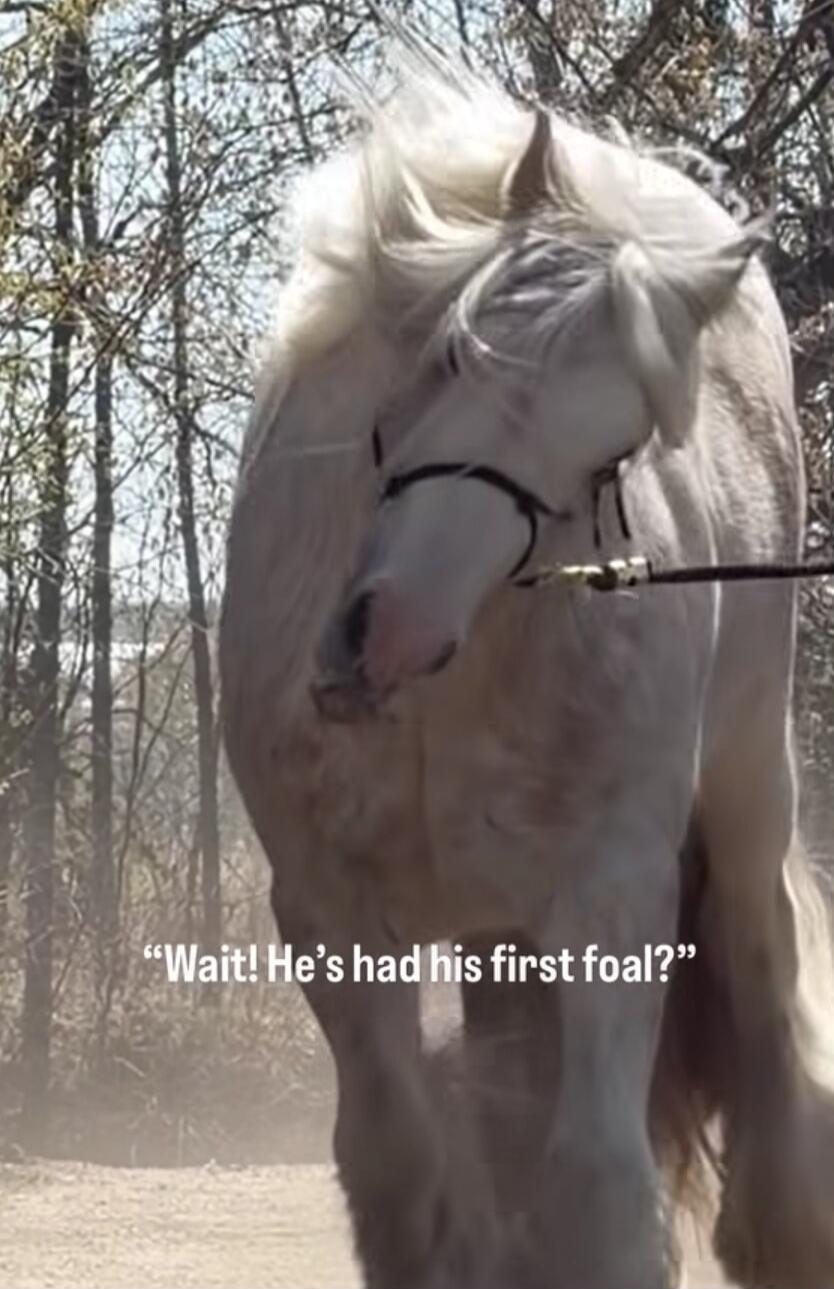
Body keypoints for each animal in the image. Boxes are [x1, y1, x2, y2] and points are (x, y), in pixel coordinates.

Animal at [218, 35, 834, 1289]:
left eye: (612, 453)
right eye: (454, 347)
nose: (389, 634)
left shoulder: (611, 896)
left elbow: (597, 1177)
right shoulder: (328, 908)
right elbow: (398, 1160)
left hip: (748, 796)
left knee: (765, 981)